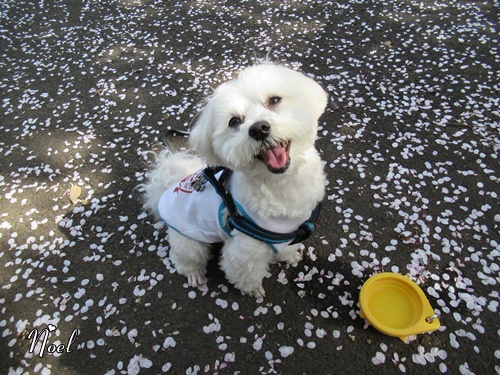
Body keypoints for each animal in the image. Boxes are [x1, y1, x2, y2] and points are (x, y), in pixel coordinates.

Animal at [143, 63, 326, 298]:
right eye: (234, 121)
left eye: (274, 100)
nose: (259, 129)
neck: (283, 184)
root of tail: (166, 189)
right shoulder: (246, 249)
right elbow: (245, 271)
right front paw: (253, 289)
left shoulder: (290, 233)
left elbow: (287, 247)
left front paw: (288, 256)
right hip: (189, 241)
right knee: (183, 258)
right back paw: (193, 272)